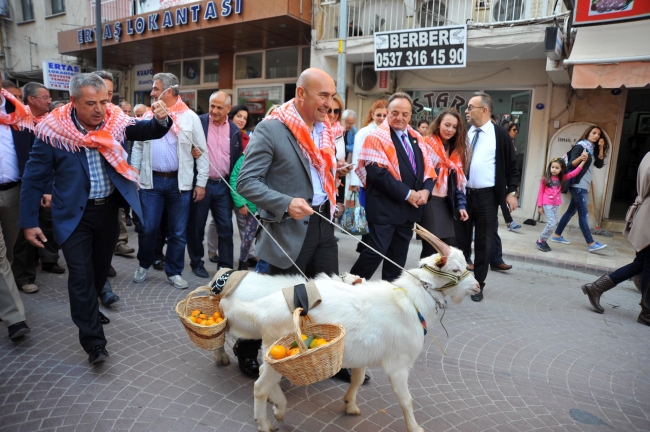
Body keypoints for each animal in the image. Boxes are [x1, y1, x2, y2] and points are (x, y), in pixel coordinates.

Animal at [211, 228, 476, 430]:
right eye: (455, 269)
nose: (477, 287)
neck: (411, 301)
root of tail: (263, 307)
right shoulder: (398, 365)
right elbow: (405, 400)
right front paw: (415, 427)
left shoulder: (362, 355)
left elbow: (357, 379)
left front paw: (350, 405)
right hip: (278, 347)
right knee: (259, 386)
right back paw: (266, 422)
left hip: (275, 351)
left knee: (267, 381)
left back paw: (279, 409)